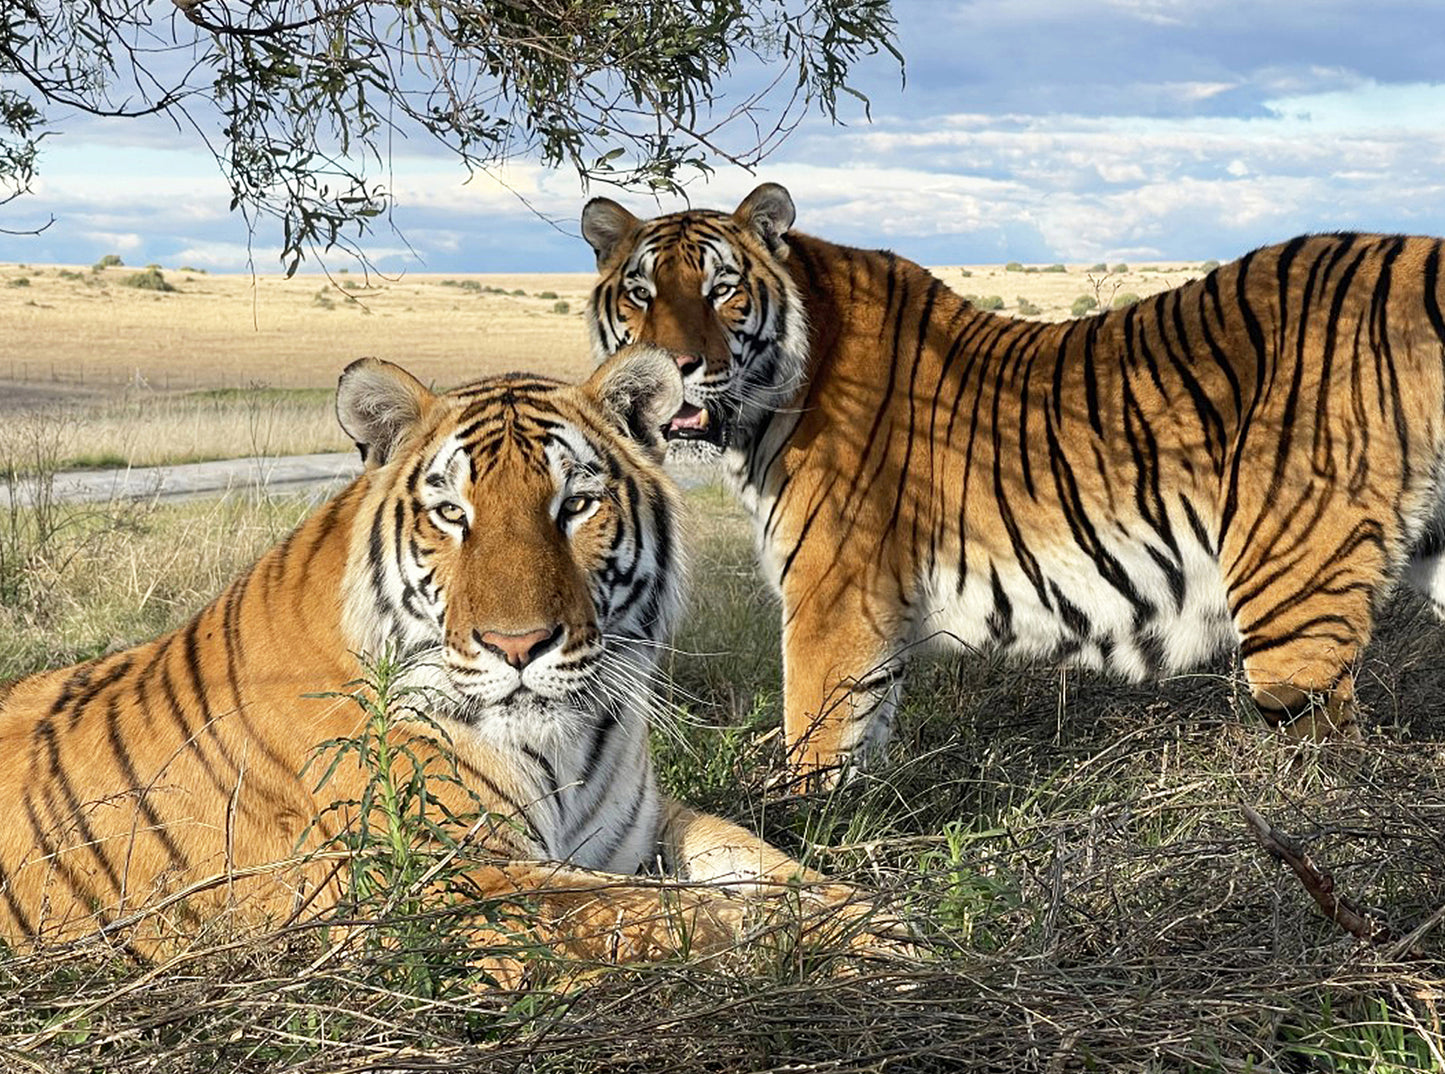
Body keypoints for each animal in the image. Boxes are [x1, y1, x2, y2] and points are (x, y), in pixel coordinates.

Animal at [0, 346, 869, 972]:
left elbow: (764, 863)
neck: (570, 742)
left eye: (576, 505)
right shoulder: (437, 875)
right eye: (452, 513)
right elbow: (664, 911)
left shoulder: (648, 826)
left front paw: (875, 919)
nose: (518, 646)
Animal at [582, 181, 1445, 784]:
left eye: (723, 290)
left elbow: (815, 736)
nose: (674, 366)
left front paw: (799, 836)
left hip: (1291, 602)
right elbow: (863, 731)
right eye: (640, 294)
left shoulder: (833, 596)